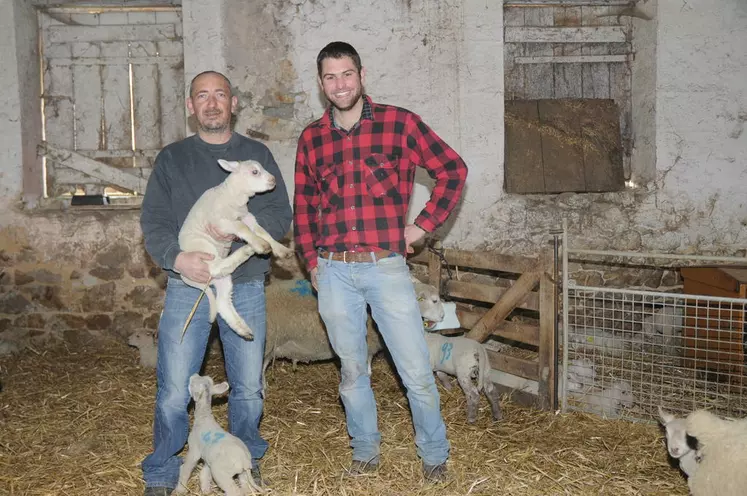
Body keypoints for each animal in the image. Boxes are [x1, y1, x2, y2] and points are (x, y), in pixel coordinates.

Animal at [180, 160, 294, 340]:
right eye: (255, 172)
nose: (273, 180)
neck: (232, 196)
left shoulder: (248, 217)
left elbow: (263, 231)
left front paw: (281, 249)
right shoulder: (223, 222)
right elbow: (242, 228)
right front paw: (260, 245)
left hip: (223, 281)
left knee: (222, 302)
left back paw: (243, 330)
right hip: (204, 248)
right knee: (216, 266)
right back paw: (247, 250)